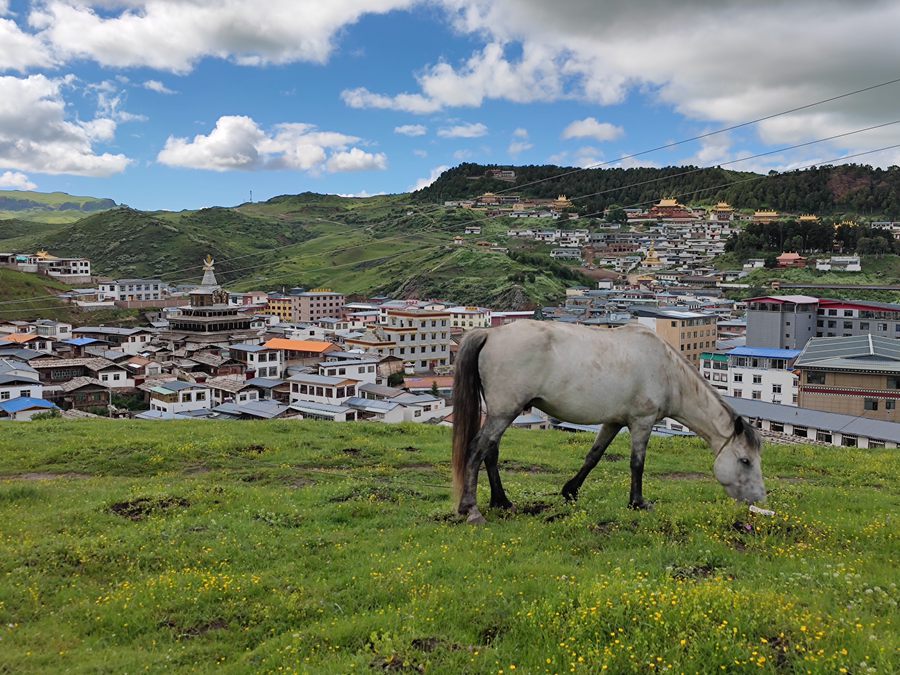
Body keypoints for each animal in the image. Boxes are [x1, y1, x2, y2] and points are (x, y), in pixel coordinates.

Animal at [452, 320, 766, 524]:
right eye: (745, 461)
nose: (759, 499)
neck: (667, 372)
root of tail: (490, 333)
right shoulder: (642, 421)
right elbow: (637, 463)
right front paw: (637, 503)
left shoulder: (613, 422)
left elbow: (594, 456)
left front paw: (570, 491)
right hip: (504, 412)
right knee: (478, 449)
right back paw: (472, 510)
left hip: (502, 412)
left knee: (491, 451)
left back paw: (502, 502)